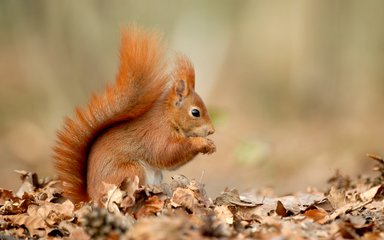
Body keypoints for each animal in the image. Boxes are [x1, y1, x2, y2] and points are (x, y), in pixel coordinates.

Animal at [53, 25, 216, 202]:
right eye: (195, 112)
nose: (211, 131)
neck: (168, 117)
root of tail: (91, 197)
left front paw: (210, 145)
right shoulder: (156, 135)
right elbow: (168, 152)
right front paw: (201, 143)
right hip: (131, 171)